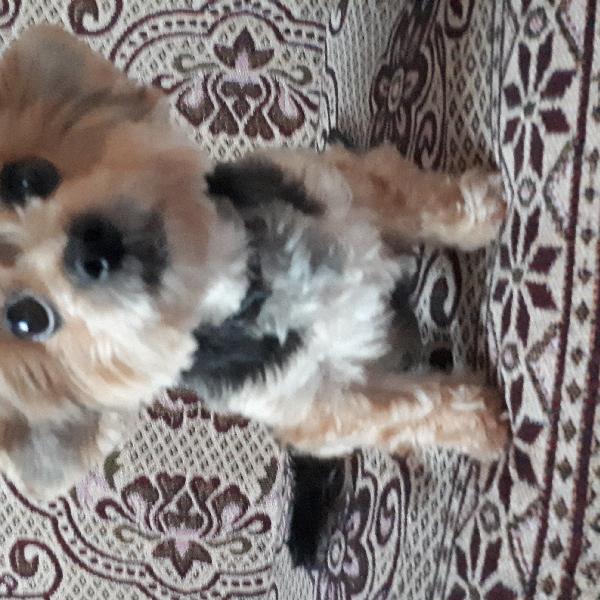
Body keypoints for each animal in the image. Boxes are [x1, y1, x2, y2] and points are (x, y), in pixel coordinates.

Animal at [0, 26, 509, 562]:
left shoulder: (340, 187)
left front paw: (478, 213)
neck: (241, 277)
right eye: (28, 319)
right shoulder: (315, 404)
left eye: (28, 176)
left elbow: (411, 198)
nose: (89, 249)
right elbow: (408, 409)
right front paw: (480, 423)